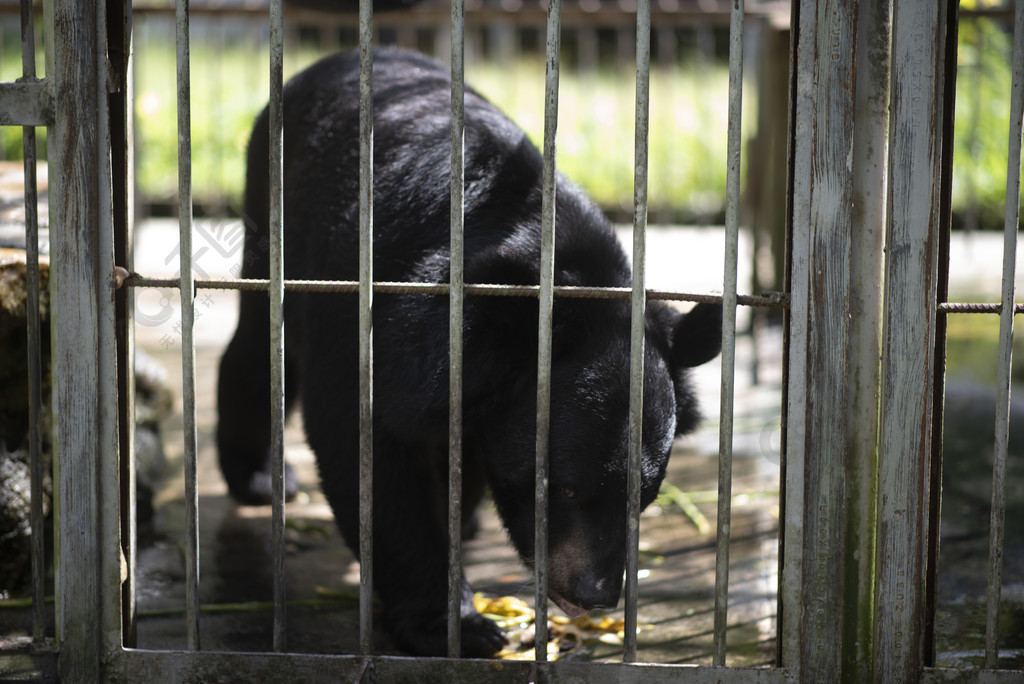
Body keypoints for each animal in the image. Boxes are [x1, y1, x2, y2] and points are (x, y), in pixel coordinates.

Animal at [217, 48, 724, 655]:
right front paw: (455, 625)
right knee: (258, 351)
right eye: (565, 487)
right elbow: (369, 448)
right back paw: (257, 478)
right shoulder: (380, 318)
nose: (595, 594)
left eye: (645, 495)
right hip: (272, 217)